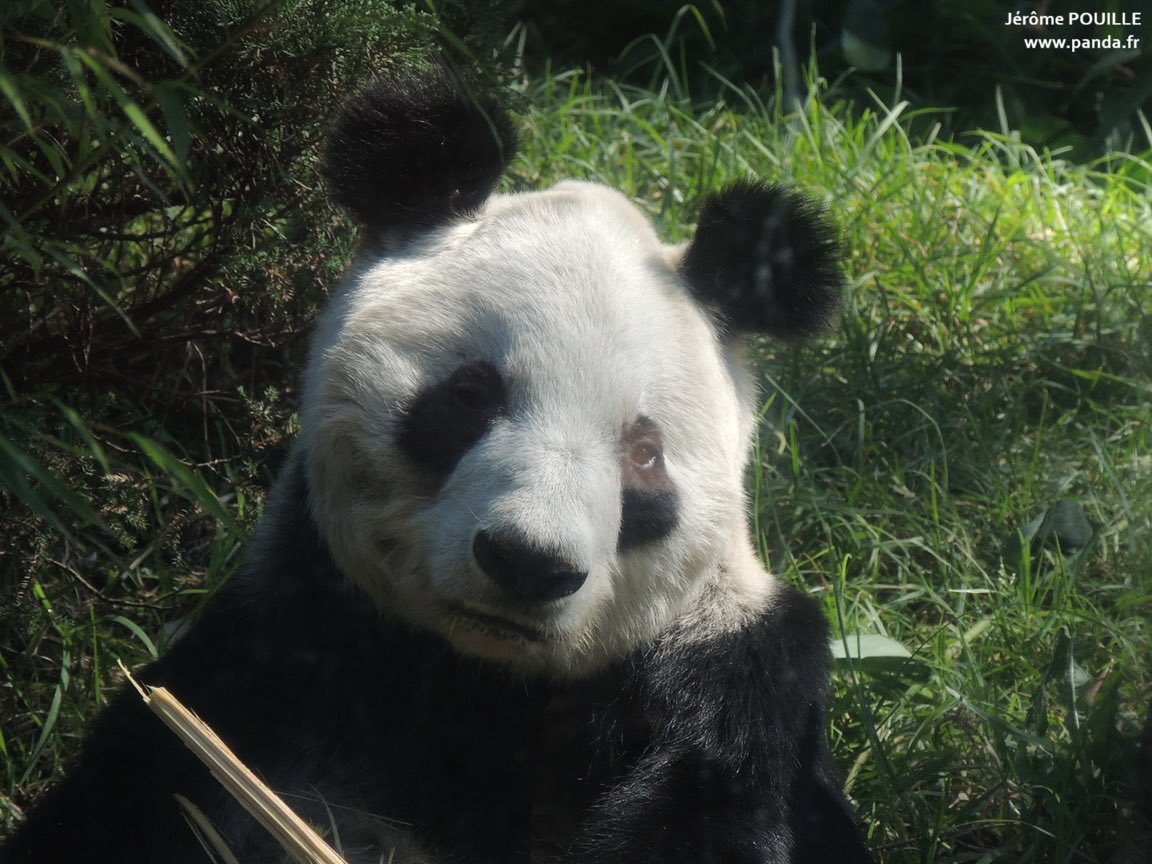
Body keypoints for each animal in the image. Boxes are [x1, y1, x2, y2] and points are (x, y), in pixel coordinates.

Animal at [3, 67, 873, 864]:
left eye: (645, 452)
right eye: (469, 395)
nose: (529, 564)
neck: (481, 676)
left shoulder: (728, 678)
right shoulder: (281, 645)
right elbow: (142, 781)